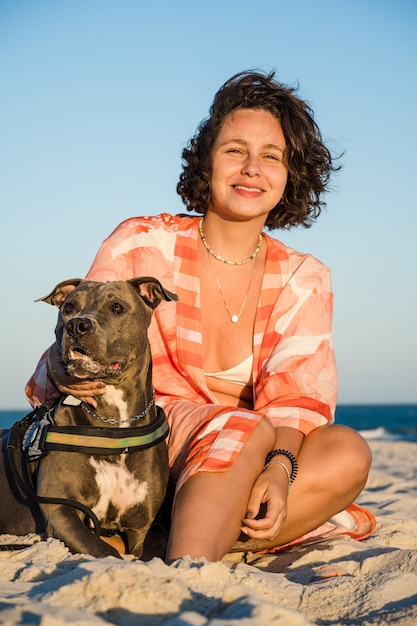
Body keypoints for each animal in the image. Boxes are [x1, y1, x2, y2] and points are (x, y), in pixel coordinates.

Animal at [0, 276, 177, 556]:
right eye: (69, 307)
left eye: (117, 307)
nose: (76, 325)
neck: (113, 425)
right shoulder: (61, 513)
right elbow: (106, 553)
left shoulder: (140, 528)